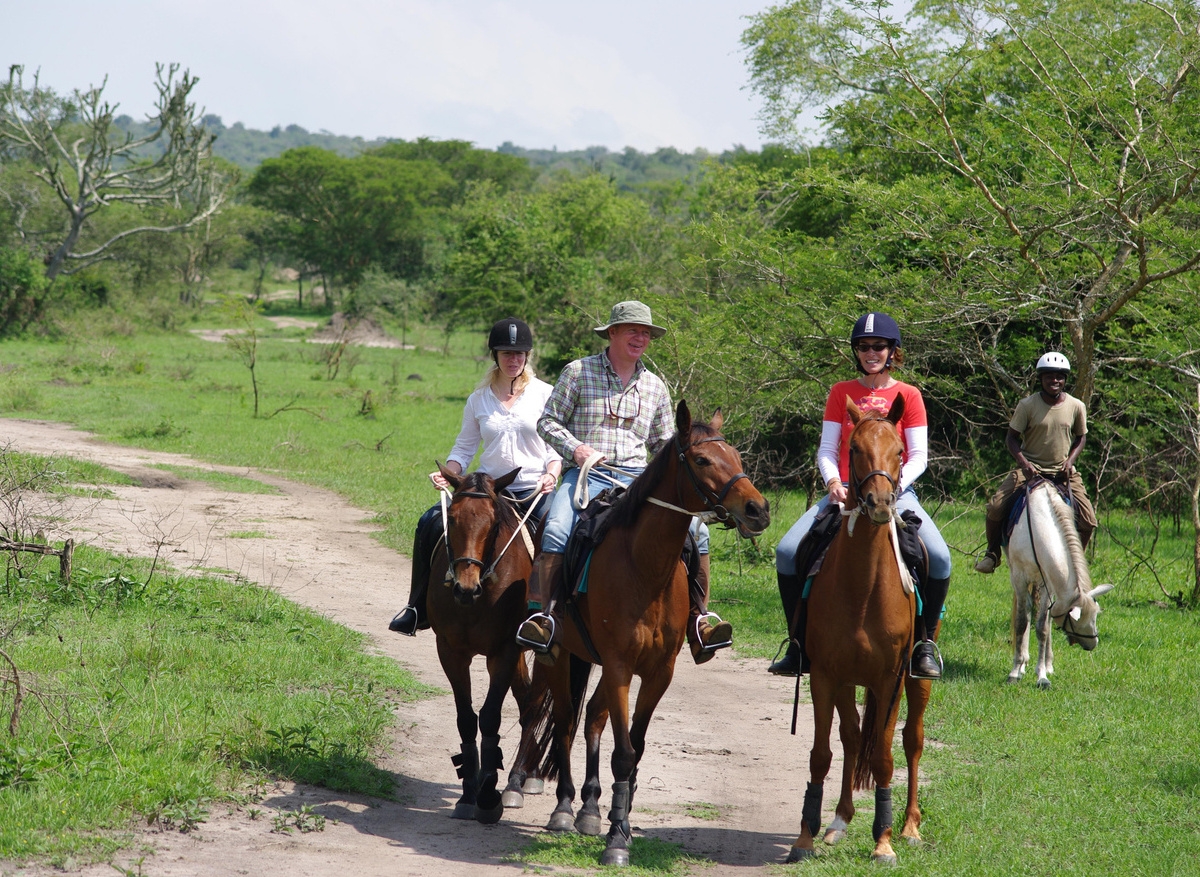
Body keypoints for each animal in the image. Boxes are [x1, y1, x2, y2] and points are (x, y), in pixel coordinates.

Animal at [425, 465, 546, 823]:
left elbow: (490, 716)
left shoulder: (503, 651)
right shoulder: (450, 650)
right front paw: (469, 793)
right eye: (452, 517)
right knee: (526, 699)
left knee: (537, 705)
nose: (465, 587)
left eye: (493, 524)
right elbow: (466, 718)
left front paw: (489, 796)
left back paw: (520, 780)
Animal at [520, 401, 770, 867]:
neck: (644, 568)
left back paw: (589, 809)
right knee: (565, 722)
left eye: (736, 456)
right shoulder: (620, 666)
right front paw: (617, 841)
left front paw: (619, 825)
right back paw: (564, 808)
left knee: (592, 720)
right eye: (702, 460)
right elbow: (623, 753)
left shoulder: (658, 673)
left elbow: (633, 750)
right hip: (561, 655)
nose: (757, 510)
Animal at [787, 396, 928, 866]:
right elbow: (821, 754)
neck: (864, 588)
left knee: (912, 740)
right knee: (850, 738)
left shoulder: (890, 679)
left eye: (900, 452)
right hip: (848, 679)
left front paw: (883, 842)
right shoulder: (825, 675)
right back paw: (838, 822)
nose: (881, 502)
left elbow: (885, 759)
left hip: (916, 679)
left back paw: (909, 826)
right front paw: (805, 838)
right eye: (854, 449)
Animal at [1006, 478, 1114, 689]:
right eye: (1077, 620)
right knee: (1027, 611)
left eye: (1096, 616)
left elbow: (1043, 627)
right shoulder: (1019, 577)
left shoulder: (1046, 582)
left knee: (1045, 618)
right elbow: (1022, 621)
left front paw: (1042, 675)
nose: (1093, 643)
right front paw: (1015, 671)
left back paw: (1047, 664)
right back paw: (1022, 664)